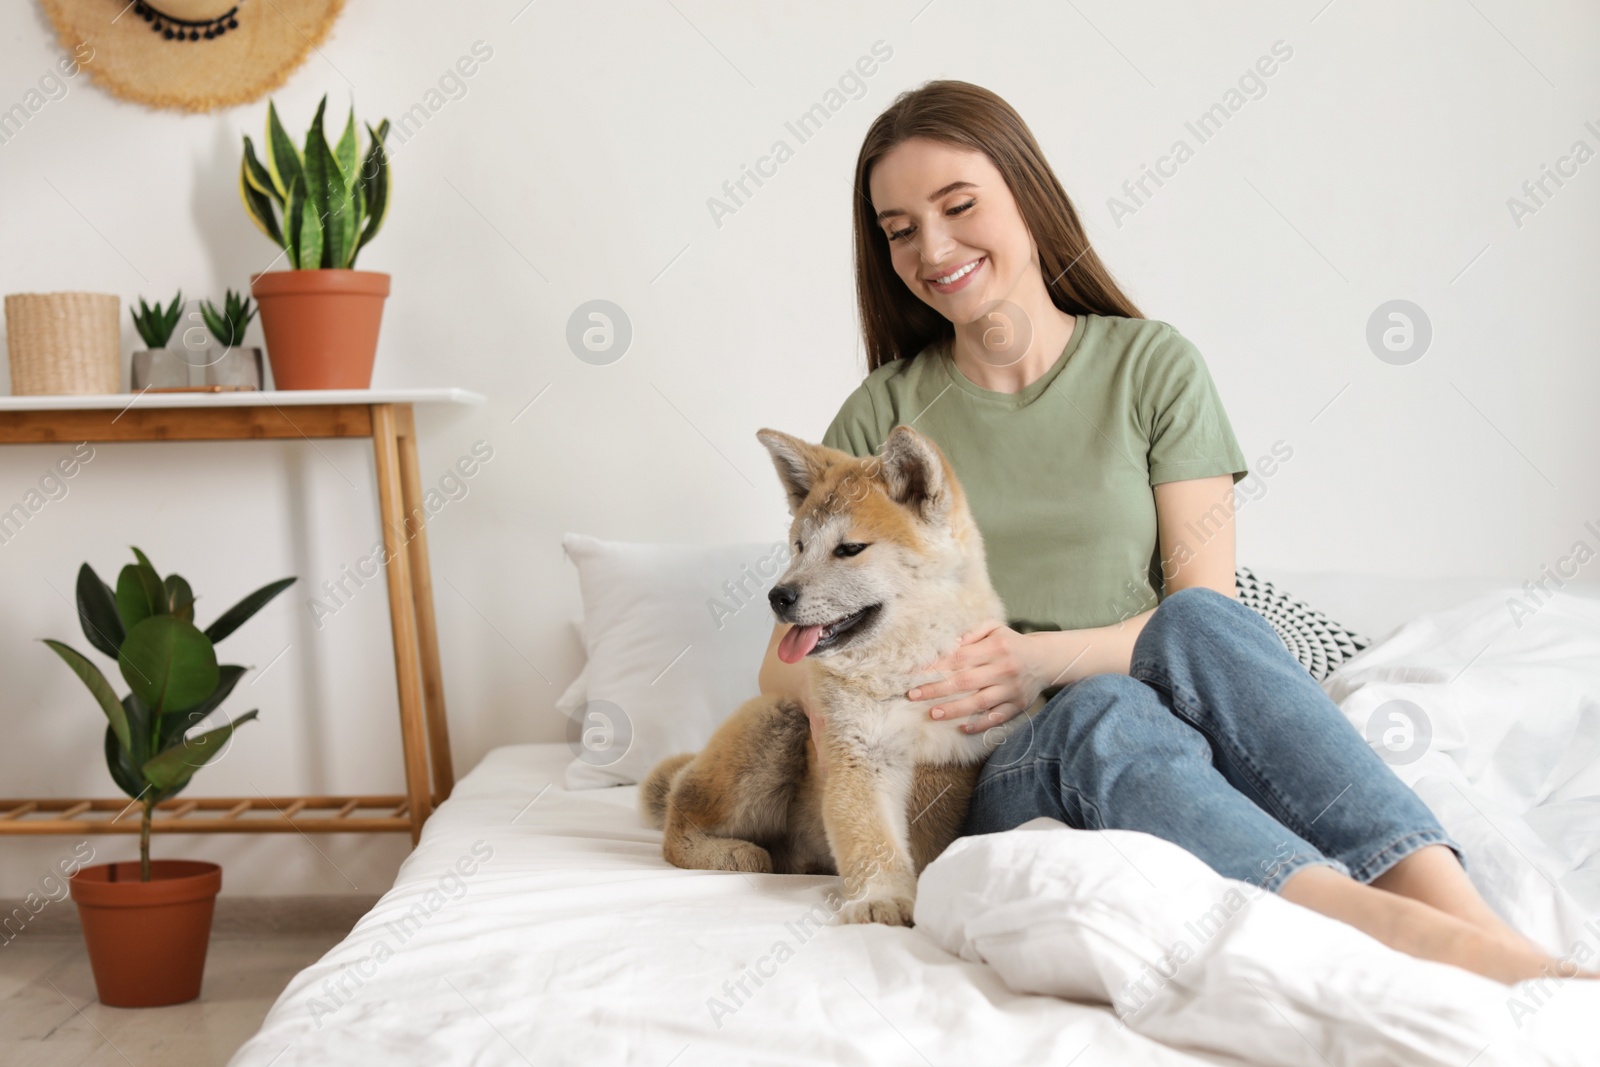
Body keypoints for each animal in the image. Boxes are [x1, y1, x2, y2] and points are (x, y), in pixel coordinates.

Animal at [643, 425, 1043, 927]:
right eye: (798, 546)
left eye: (849, 548)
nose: (778, 596)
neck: (906, 672)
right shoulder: (857, 756)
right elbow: (872, 840)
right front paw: (882, 897)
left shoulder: (957, 761)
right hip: (781, 716)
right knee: (679, 816)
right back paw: (730, 852)